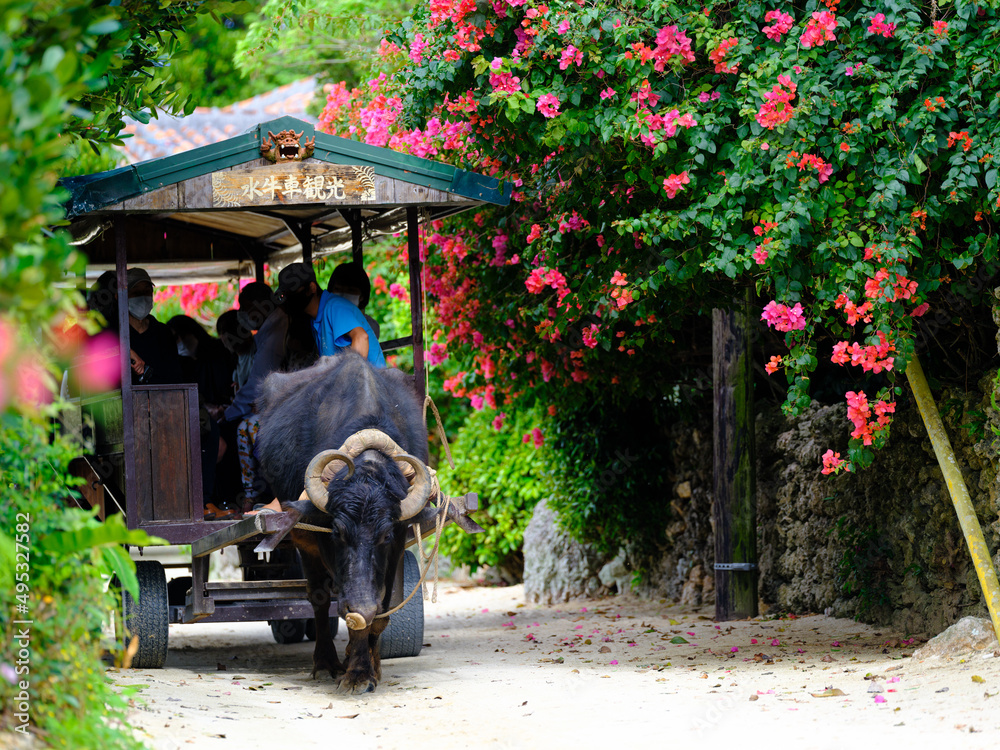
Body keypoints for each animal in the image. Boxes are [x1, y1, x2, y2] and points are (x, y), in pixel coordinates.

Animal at [256, 356, 436, 696]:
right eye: (338, 531)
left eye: (386, 534)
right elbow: (347, 609)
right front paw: (356, 673)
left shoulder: (395, 549)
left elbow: (380, 610)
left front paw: (369, 668)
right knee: (318, 597)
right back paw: (326, 662)